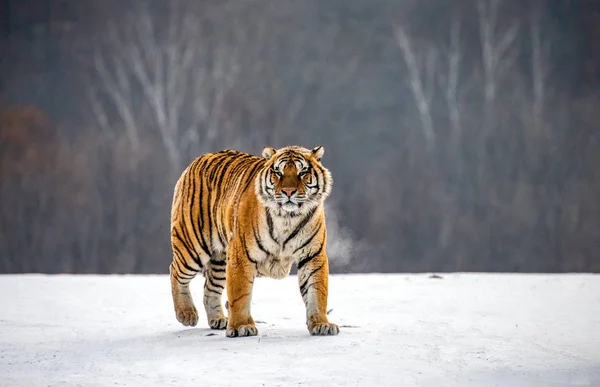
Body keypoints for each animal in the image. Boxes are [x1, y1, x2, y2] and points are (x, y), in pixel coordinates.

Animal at [169, 146, 340, 340]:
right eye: (278, 172)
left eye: (302, 172)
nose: (289, 192)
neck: (287, 218)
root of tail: (198, 159)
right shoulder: (241, 255)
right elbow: (240, 294)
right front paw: (241, 327)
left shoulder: (313, 256)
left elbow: (317, 291)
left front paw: (321, 324)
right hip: (193, 246)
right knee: (175, 271)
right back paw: (186, 314)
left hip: (220, 260)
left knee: (209, 288)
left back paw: (218, 319)